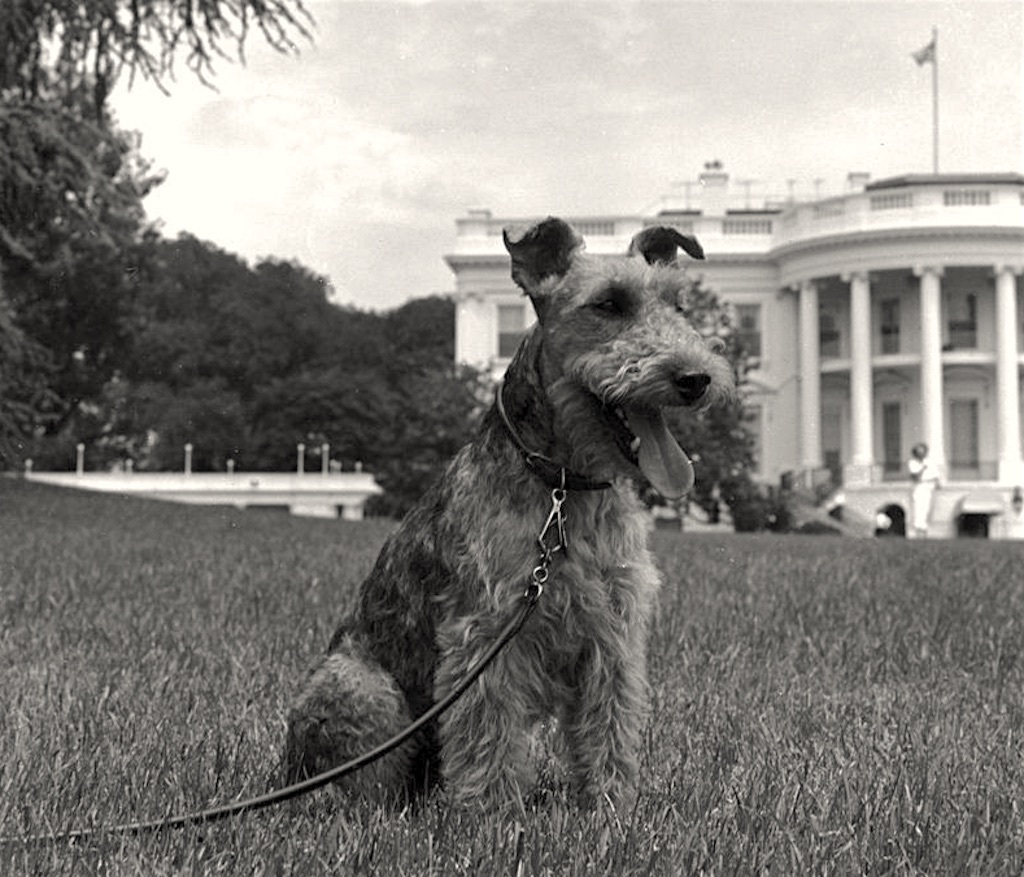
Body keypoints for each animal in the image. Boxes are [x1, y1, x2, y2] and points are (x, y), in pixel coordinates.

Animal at [280, 217, 737, 807]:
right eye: (609, 303)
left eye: (679, 306)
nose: (695, 378)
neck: (565, 490)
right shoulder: (486, 629)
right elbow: (488, 735)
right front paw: (493, 813)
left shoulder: (613, 633)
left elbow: (609, 730)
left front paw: (611, 807)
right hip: (364, 685)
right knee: (351, 785)